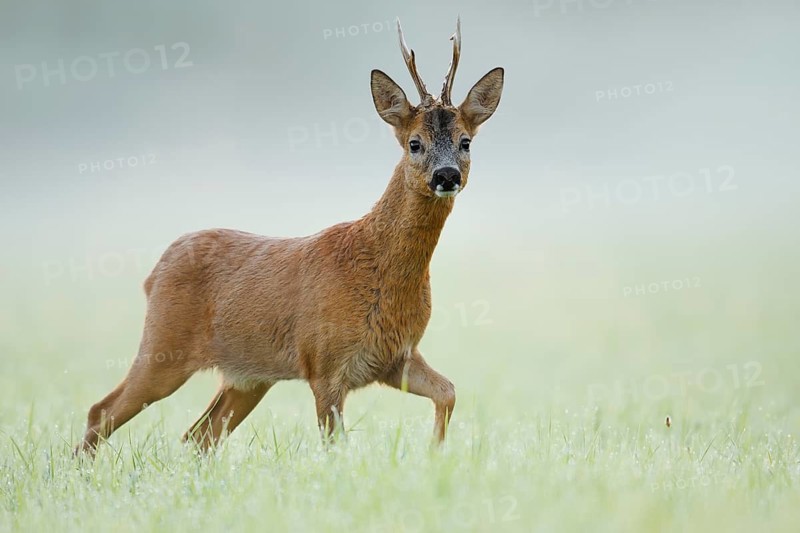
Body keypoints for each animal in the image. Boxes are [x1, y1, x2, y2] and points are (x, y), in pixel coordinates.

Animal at [76, 18, 504, 454]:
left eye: (465, 142)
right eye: (415, 143)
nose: (446, 175)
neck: (375, 265)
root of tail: (155, 270)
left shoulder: (395, 357)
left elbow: (448, 391)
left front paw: (435, 453)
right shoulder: (324, 363)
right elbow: (334, 445)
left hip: (247, 376)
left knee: (198, 435)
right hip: (163, 347)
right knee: (102, 411)